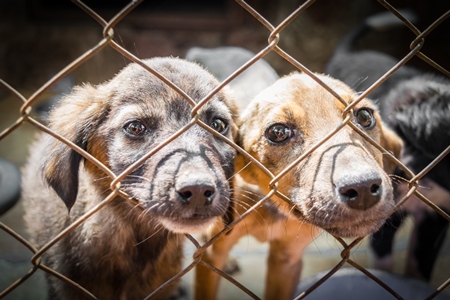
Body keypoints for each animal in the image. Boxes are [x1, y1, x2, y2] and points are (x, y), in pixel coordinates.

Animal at [195, 73, 402, 300]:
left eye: (365, 116)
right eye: (277, 132)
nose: (363, 188)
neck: (273, 205)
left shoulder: (287, 260)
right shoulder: (211, 254)